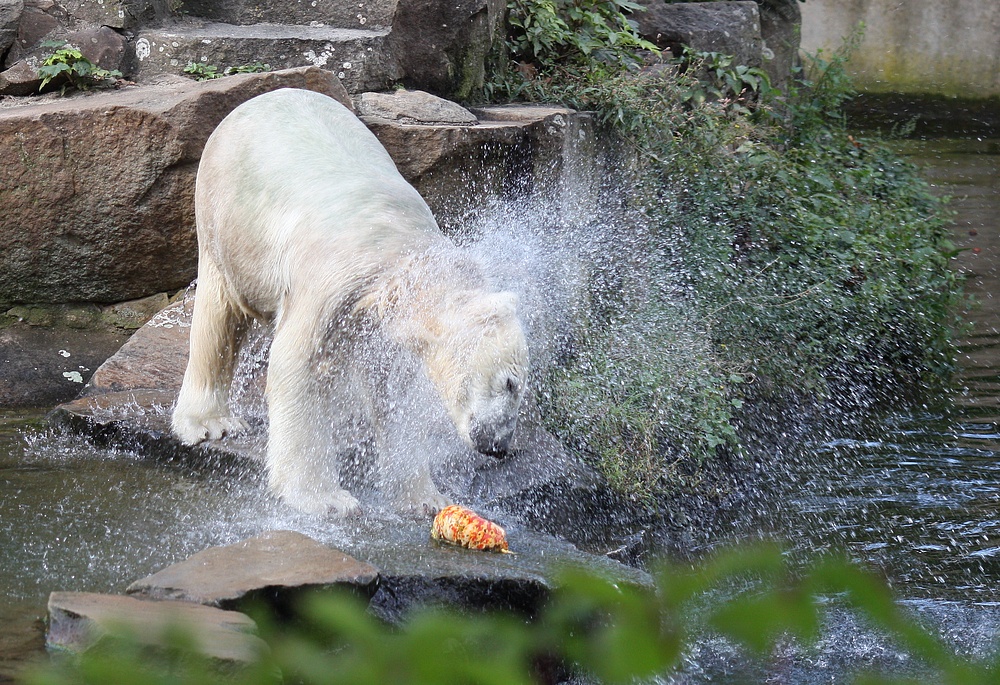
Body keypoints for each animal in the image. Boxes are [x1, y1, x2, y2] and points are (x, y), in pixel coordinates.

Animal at [172, 89, 532, 520]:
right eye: (510, 383)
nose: (499, 446)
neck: (402, 257)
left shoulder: (383, 319)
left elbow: (393, 389)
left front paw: (424, 498)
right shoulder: (335, 277)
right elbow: (299, 365)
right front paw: (324, 499)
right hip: (227, 217)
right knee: (220, 311)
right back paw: (209, 422)